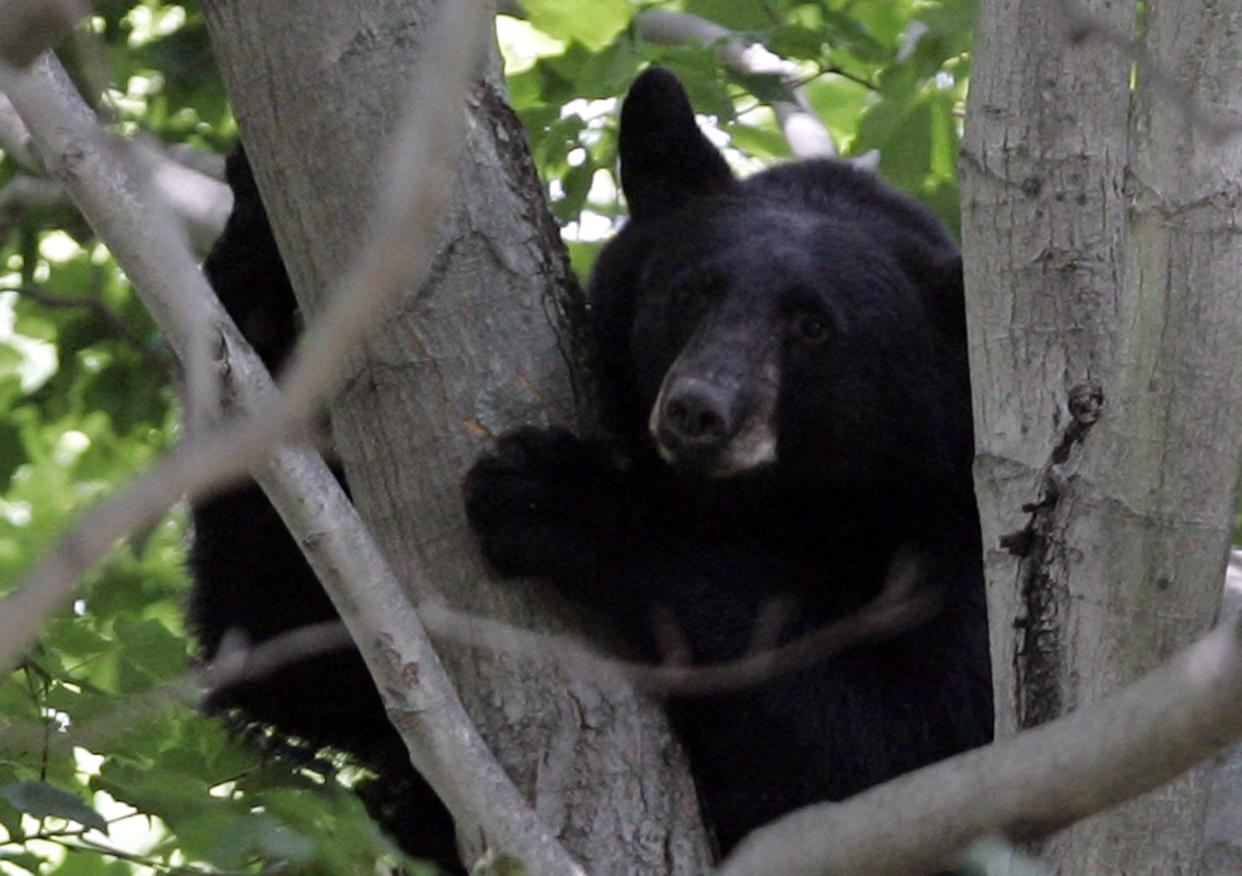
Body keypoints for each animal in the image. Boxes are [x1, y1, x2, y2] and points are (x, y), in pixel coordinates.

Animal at [462, 70, 993, 854]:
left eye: (813, 326)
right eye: (693, 292)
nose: (698, 411)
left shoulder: (967, 523)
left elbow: (904, 728)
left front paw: (555, 494)